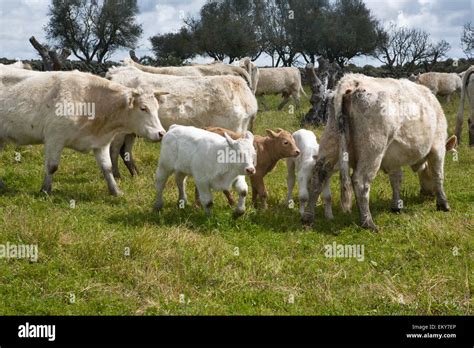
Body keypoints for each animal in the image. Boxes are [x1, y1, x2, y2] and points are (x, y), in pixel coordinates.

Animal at [0, 68, 168, 196]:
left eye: (157, 108)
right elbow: (52, 166)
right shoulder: (55, 138)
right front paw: (45, 191)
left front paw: (115, 191)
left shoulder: (101, 143)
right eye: (143, 108)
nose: (161, 133)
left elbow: (107, 168)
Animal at [302, 73, 454, 231]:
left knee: (319, 173)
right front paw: (443, 203)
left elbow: (396, 179)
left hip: (330, 141)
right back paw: (368, 222)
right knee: (360, 181)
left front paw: (396, 206)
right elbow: (438, 174)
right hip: (373, 149)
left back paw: (308, 217)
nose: (427, 194)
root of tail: (353, 79)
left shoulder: (394, 159)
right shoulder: (437, 147)